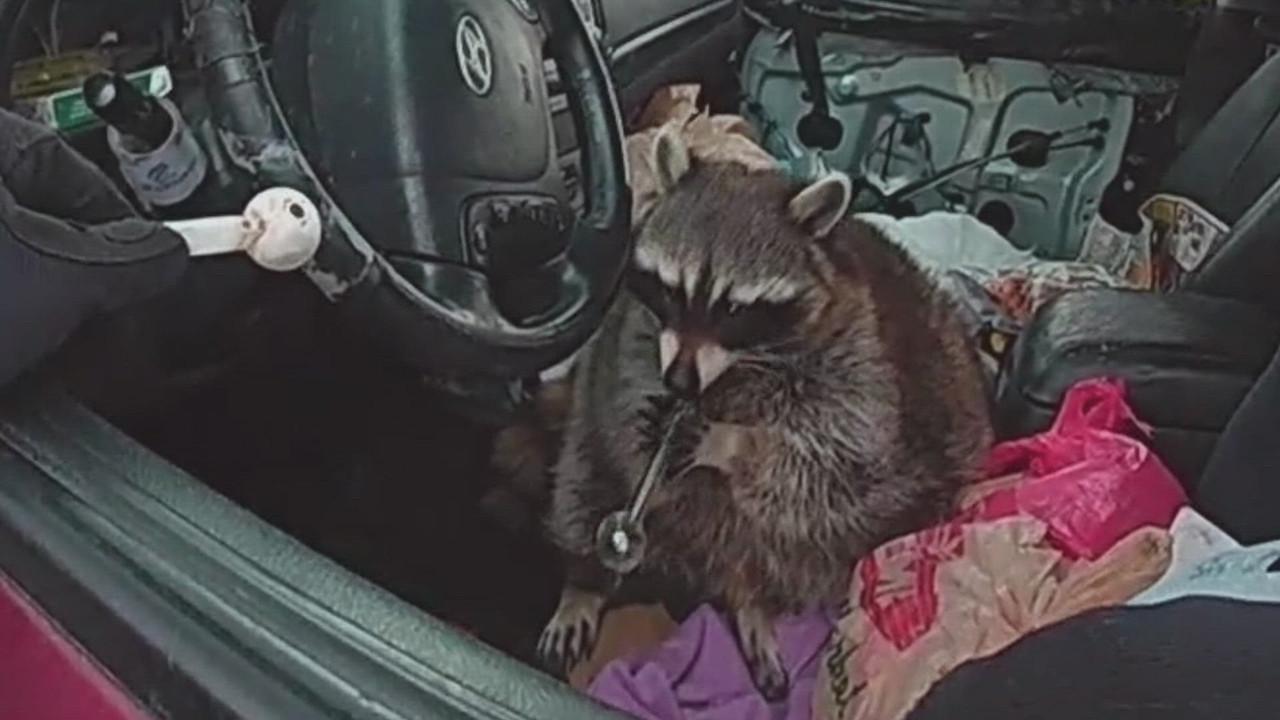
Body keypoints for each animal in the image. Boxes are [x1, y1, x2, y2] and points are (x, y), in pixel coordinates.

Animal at [537, 124, 993, 699]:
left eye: (734, 308)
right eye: (672, 288)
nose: (679, 383)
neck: (733, 370)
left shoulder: (862, 357)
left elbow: (838, 453)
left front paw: (729, 442)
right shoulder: (632, 330)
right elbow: (625, 386)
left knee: (803, 534)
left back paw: (751, 601)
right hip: (589, 456)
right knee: (585, 478)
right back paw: (585, 582)